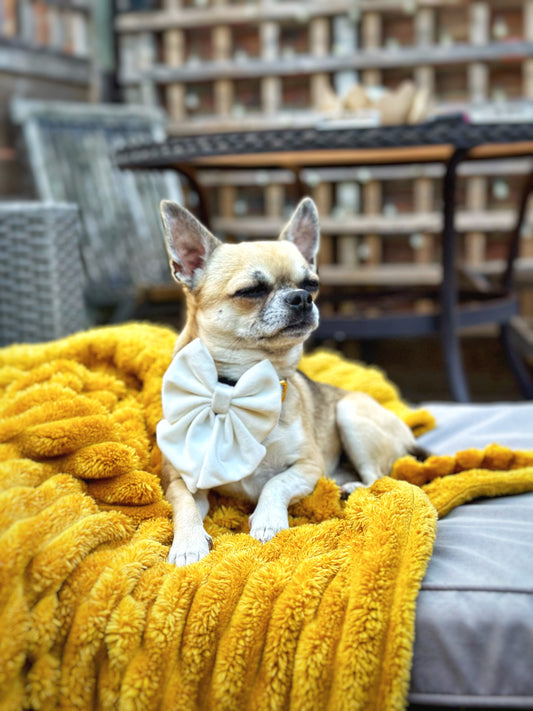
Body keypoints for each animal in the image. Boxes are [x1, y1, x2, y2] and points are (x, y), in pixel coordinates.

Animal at [155, 197, 424, 564]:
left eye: (312, 284)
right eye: (250, 290)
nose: (301, 297)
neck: (238, 388)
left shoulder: (309, 466)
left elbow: (275, 483)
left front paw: (267, 520)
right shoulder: (178, 477)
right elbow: (185, 505)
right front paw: (187, 543)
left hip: (351, 414)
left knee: (380, 479)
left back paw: (353, 488)